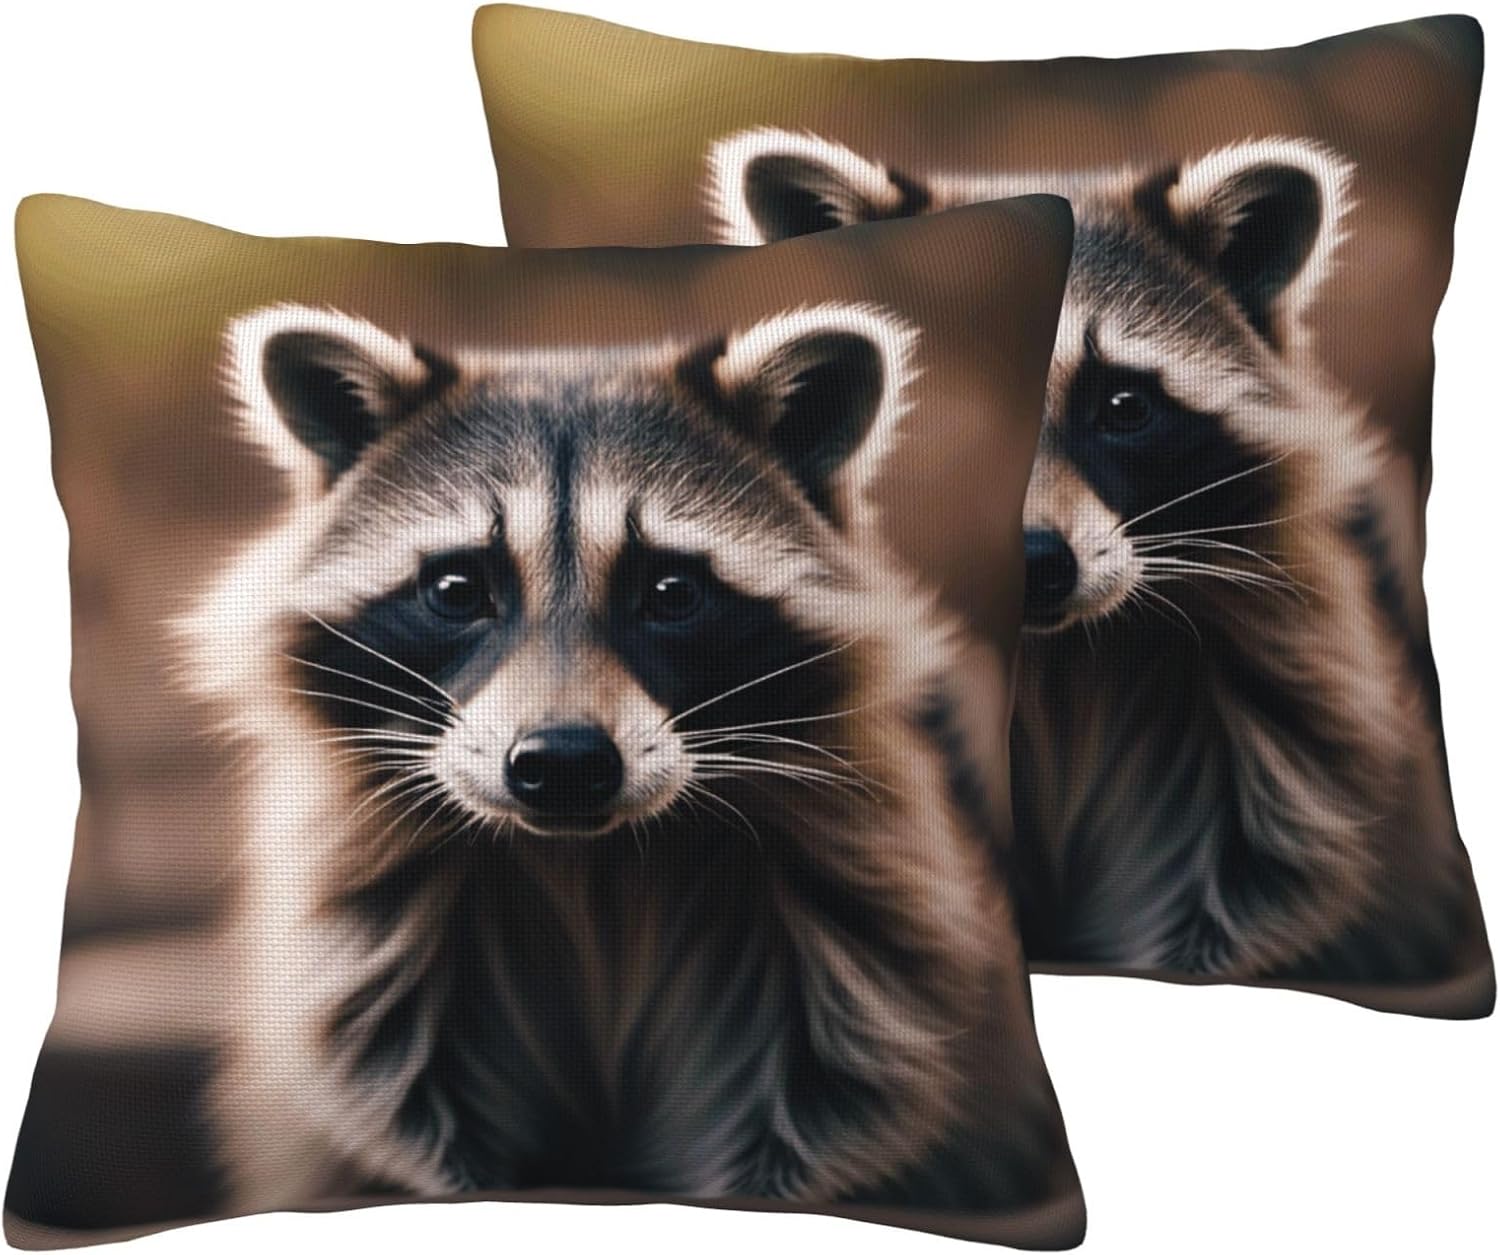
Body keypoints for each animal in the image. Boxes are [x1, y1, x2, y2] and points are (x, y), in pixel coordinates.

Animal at [179, 301, 1069, 1218]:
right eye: (459, 590)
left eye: (672, 592)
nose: (564, 762)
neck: (589, 864)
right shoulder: (379, 951)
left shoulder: (843, 939)